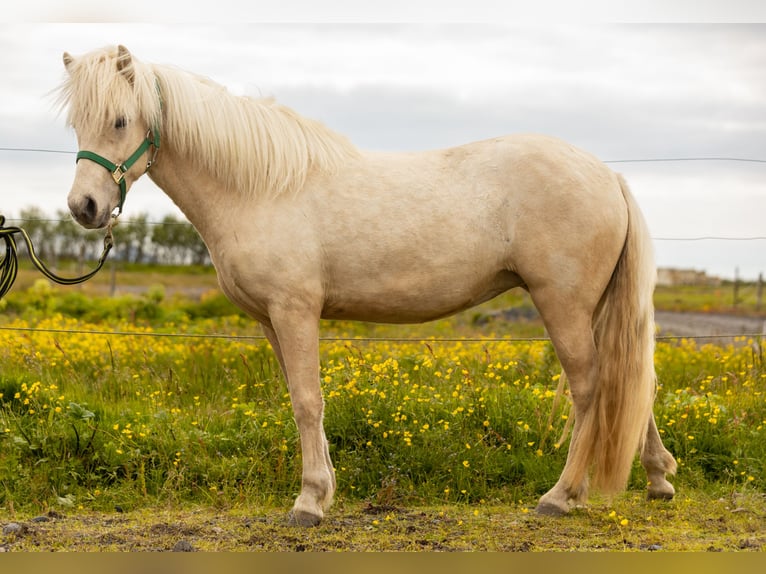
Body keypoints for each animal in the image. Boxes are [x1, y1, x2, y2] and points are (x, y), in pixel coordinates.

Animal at [57, 47, 676, 528]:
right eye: (77, 125)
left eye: (119, 120)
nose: (84, 208)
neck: (260, 188)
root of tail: (608, 175)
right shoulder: (271, 320)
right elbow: (300, 399)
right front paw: (324, 489)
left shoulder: (295, 311)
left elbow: (308, 401)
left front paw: (308, 502)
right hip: (594, 308)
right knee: (630, 380)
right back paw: (657, 479)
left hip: (562, 303)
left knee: (592, 386)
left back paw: (561, 496)